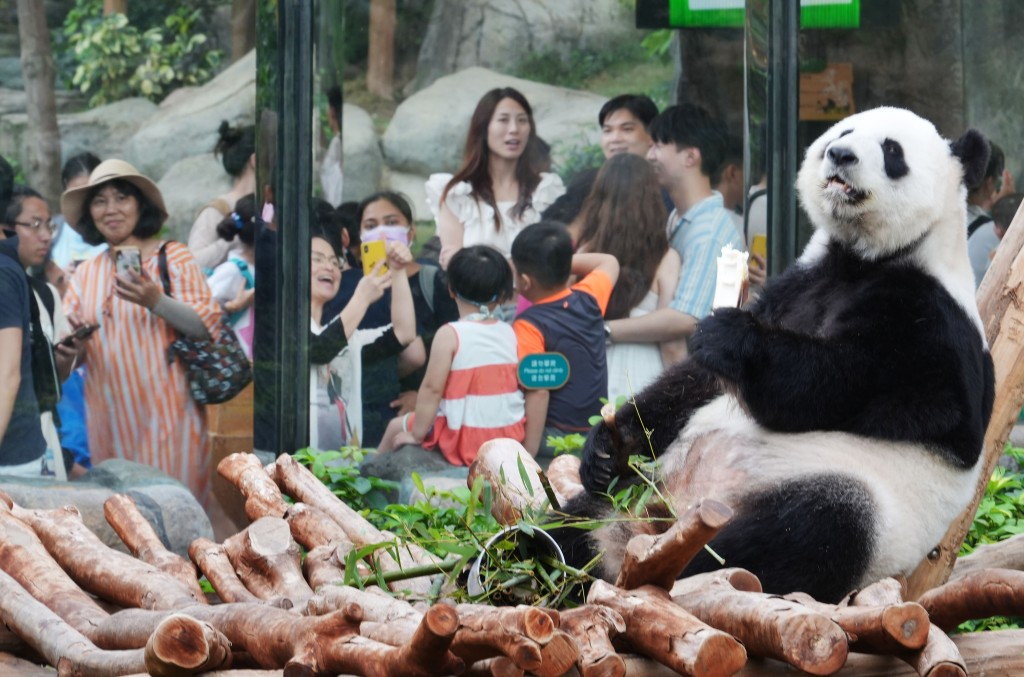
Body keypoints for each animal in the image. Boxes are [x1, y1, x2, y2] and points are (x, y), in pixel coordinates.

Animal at [561, 105, 999, 602]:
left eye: (892, 151)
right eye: (845, 132)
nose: (840, 154)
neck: (864, 258)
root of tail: (668, 511)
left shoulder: (932, 330)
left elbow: (833, 385)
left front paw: (730, 336)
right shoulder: (799, 284)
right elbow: (694, 383)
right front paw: (608, 446)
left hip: (858, 508)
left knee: (804, 531)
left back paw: (666, 563)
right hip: (648, 484)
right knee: (573, 518)